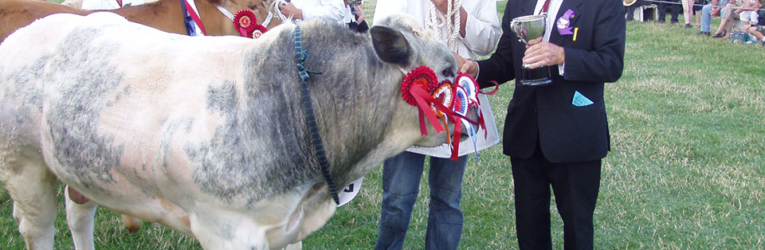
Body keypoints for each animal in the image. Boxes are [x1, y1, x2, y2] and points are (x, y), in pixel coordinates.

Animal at [0, 11, 472, 248]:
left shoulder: (285, 231)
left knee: (78, 212)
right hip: (24, 165)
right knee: (38, 229)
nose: (469, 129)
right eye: (448, 73)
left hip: (81, 163)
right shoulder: (224, 230)